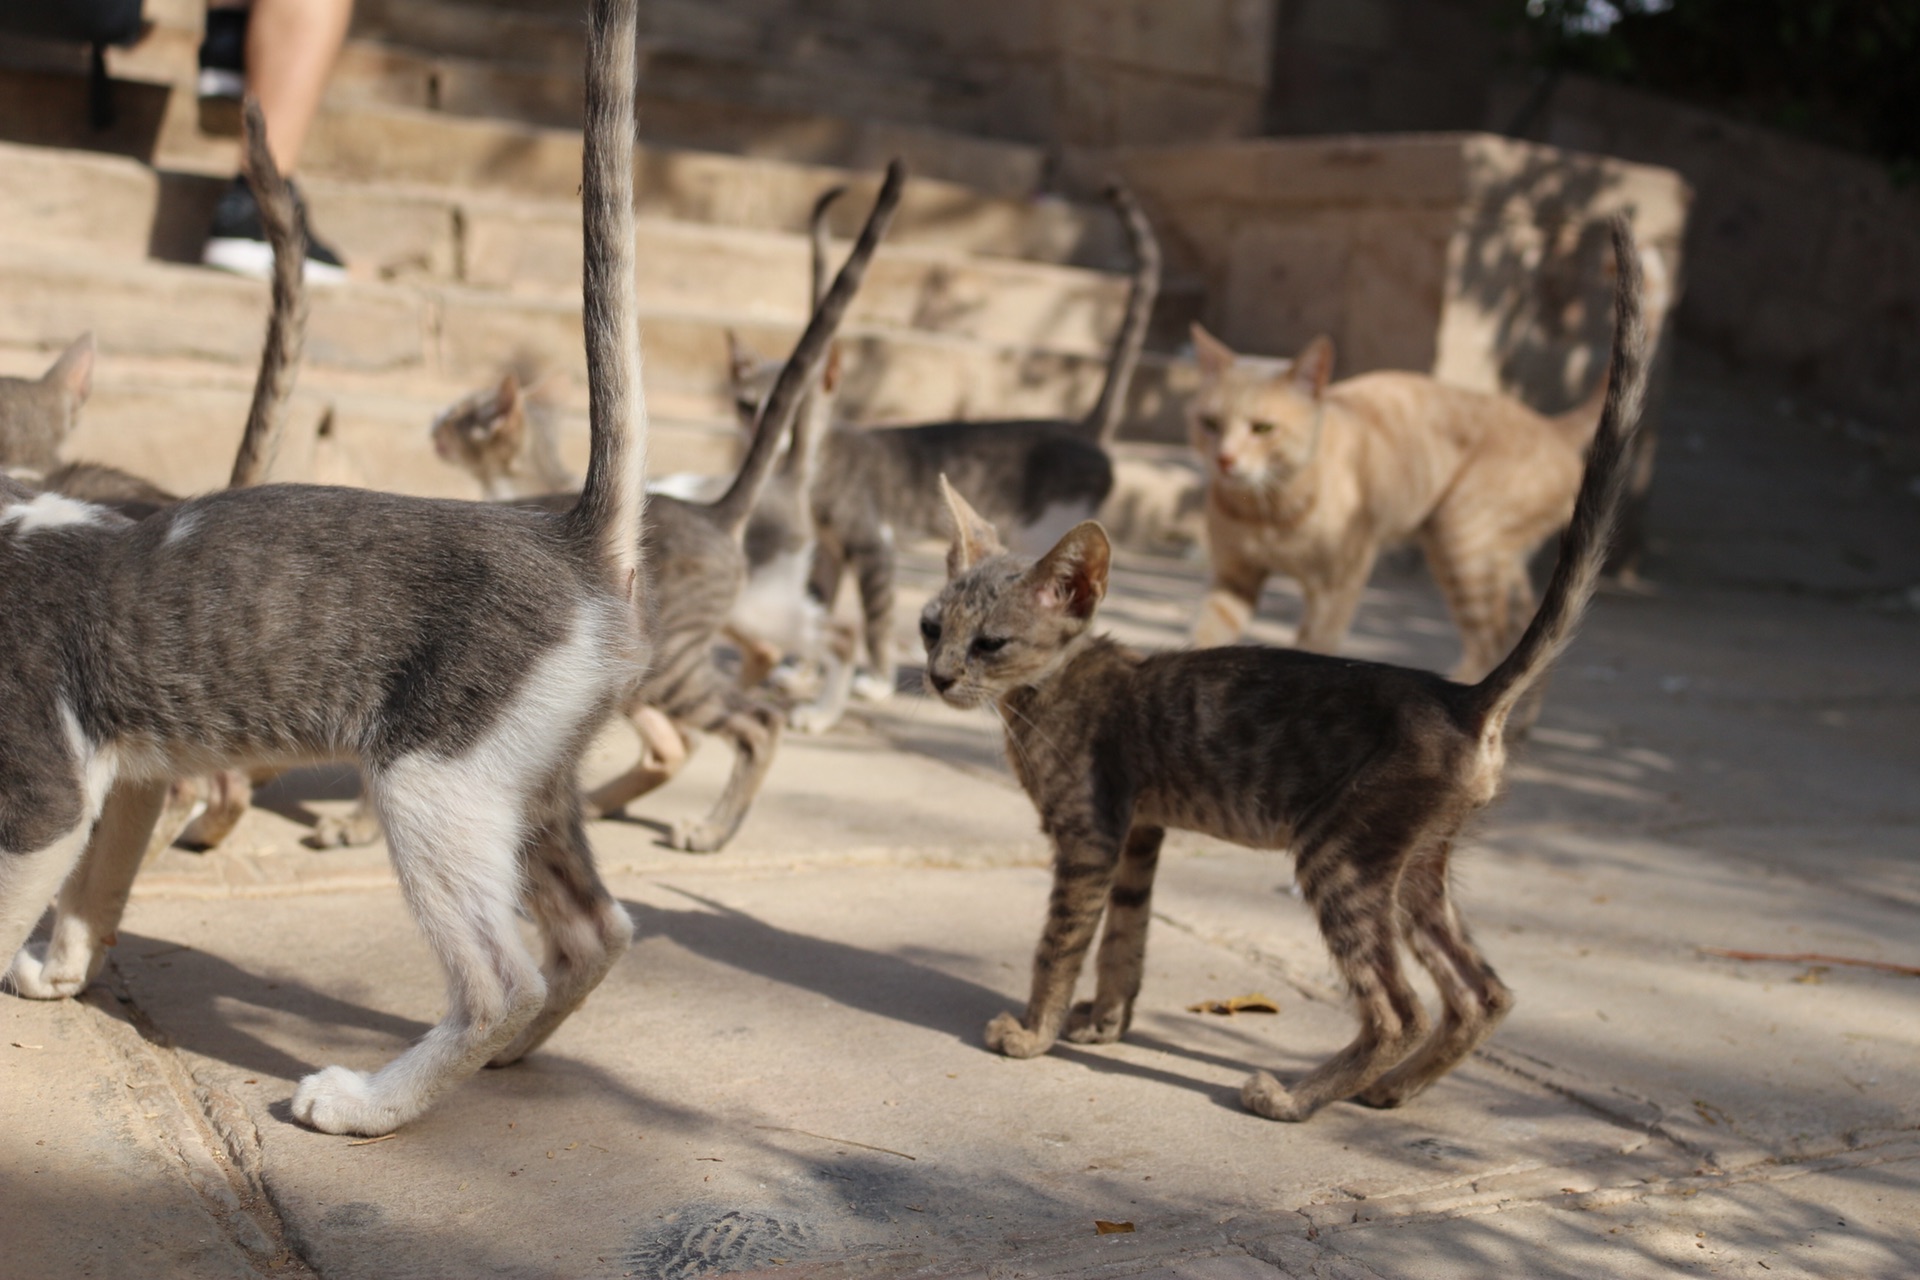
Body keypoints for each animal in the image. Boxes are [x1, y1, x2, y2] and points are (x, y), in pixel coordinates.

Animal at [0, 0, 652, 1143]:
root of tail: (570, 538)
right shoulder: (129, 770)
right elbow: (99, 879)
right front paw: (63, 965)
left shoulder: (44, 781)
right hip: (526, 773)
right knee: (598, 927)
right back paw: (512, 1052)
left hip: (433, 774)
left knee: (502, 976)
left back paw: (373, 1102)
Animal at [432, 169, 902, 852]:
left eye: (461, 417)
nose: (431, 426)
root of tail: (728, 507)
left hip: (709, 636)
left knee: (799, 672)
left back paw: (719, 817)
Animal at [729, 180, 1152, 702]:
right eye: (747, 404)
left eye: (787, 404)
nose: (760, 431)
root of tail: (1081, 428)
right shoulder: (826, 552)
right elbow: (818, 603)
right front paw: (800, 668)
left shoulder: (874, 544)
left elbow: (876, 616)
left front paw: (875, 680)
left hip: (1045, 532)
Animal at [1182, 257, 1620, 690]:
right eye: (1209, 424)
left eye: (1262, 429)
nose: (1224, 459)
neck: (1266, 511)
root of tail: (1549, 425)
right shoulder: (1232, 578)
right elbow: (1205, 638)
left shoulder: (1336, 589)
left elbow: (1317, 648)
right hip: (1492, 556)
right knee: (1531, 634)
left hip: (1460, 541)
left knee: (1492, 644)